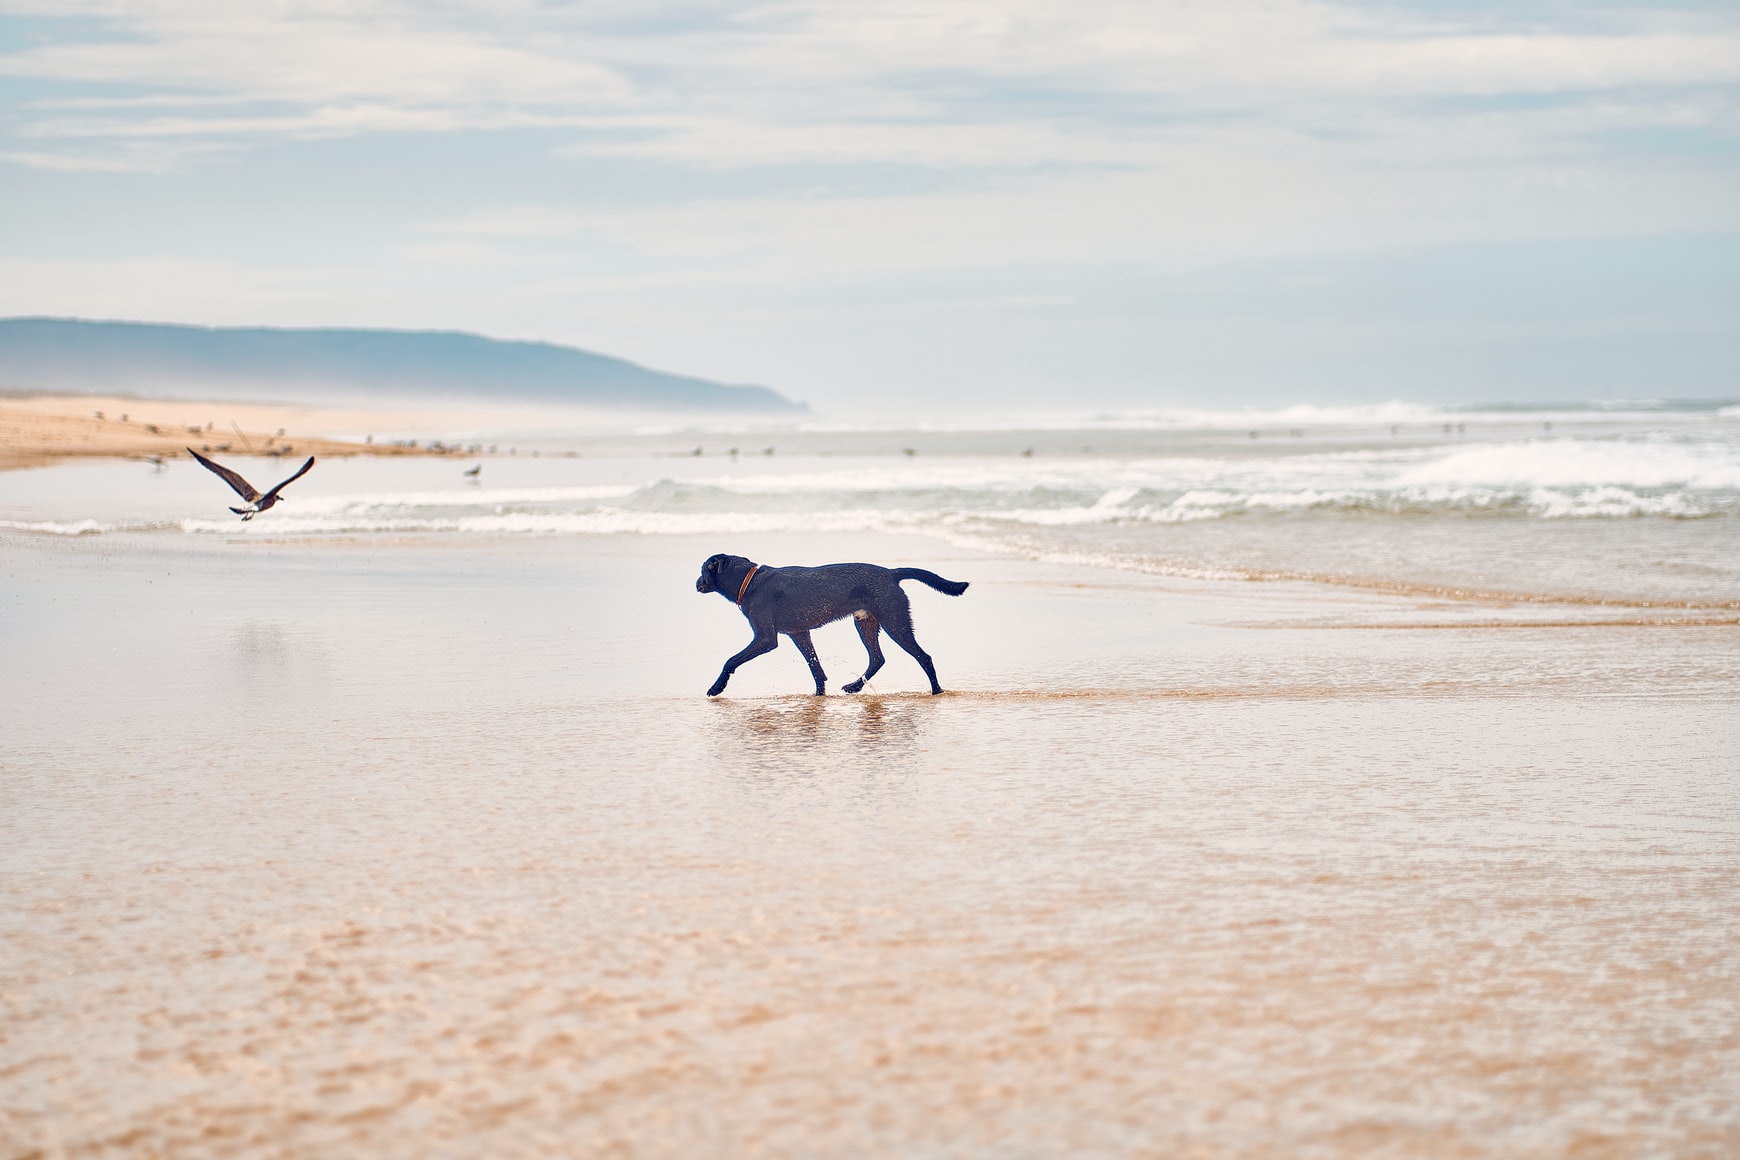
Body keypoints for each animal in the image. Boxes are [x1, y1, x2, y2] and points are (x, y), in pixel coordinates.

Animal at [696, 556, 974, 699]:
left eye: (703, 570)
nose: (696, 582)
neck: (749, 581)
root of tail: (891, 573)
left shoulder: (765, 638)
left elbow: (731, 660)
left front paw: (716, 688)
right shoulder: (799, 633)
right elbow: (815, 667)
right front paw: (819, 694)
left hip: (895, 621)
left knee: (923, 657)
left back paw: (937, 691)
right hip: (866, 622)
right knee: (878, 658)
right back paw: (854, 686)